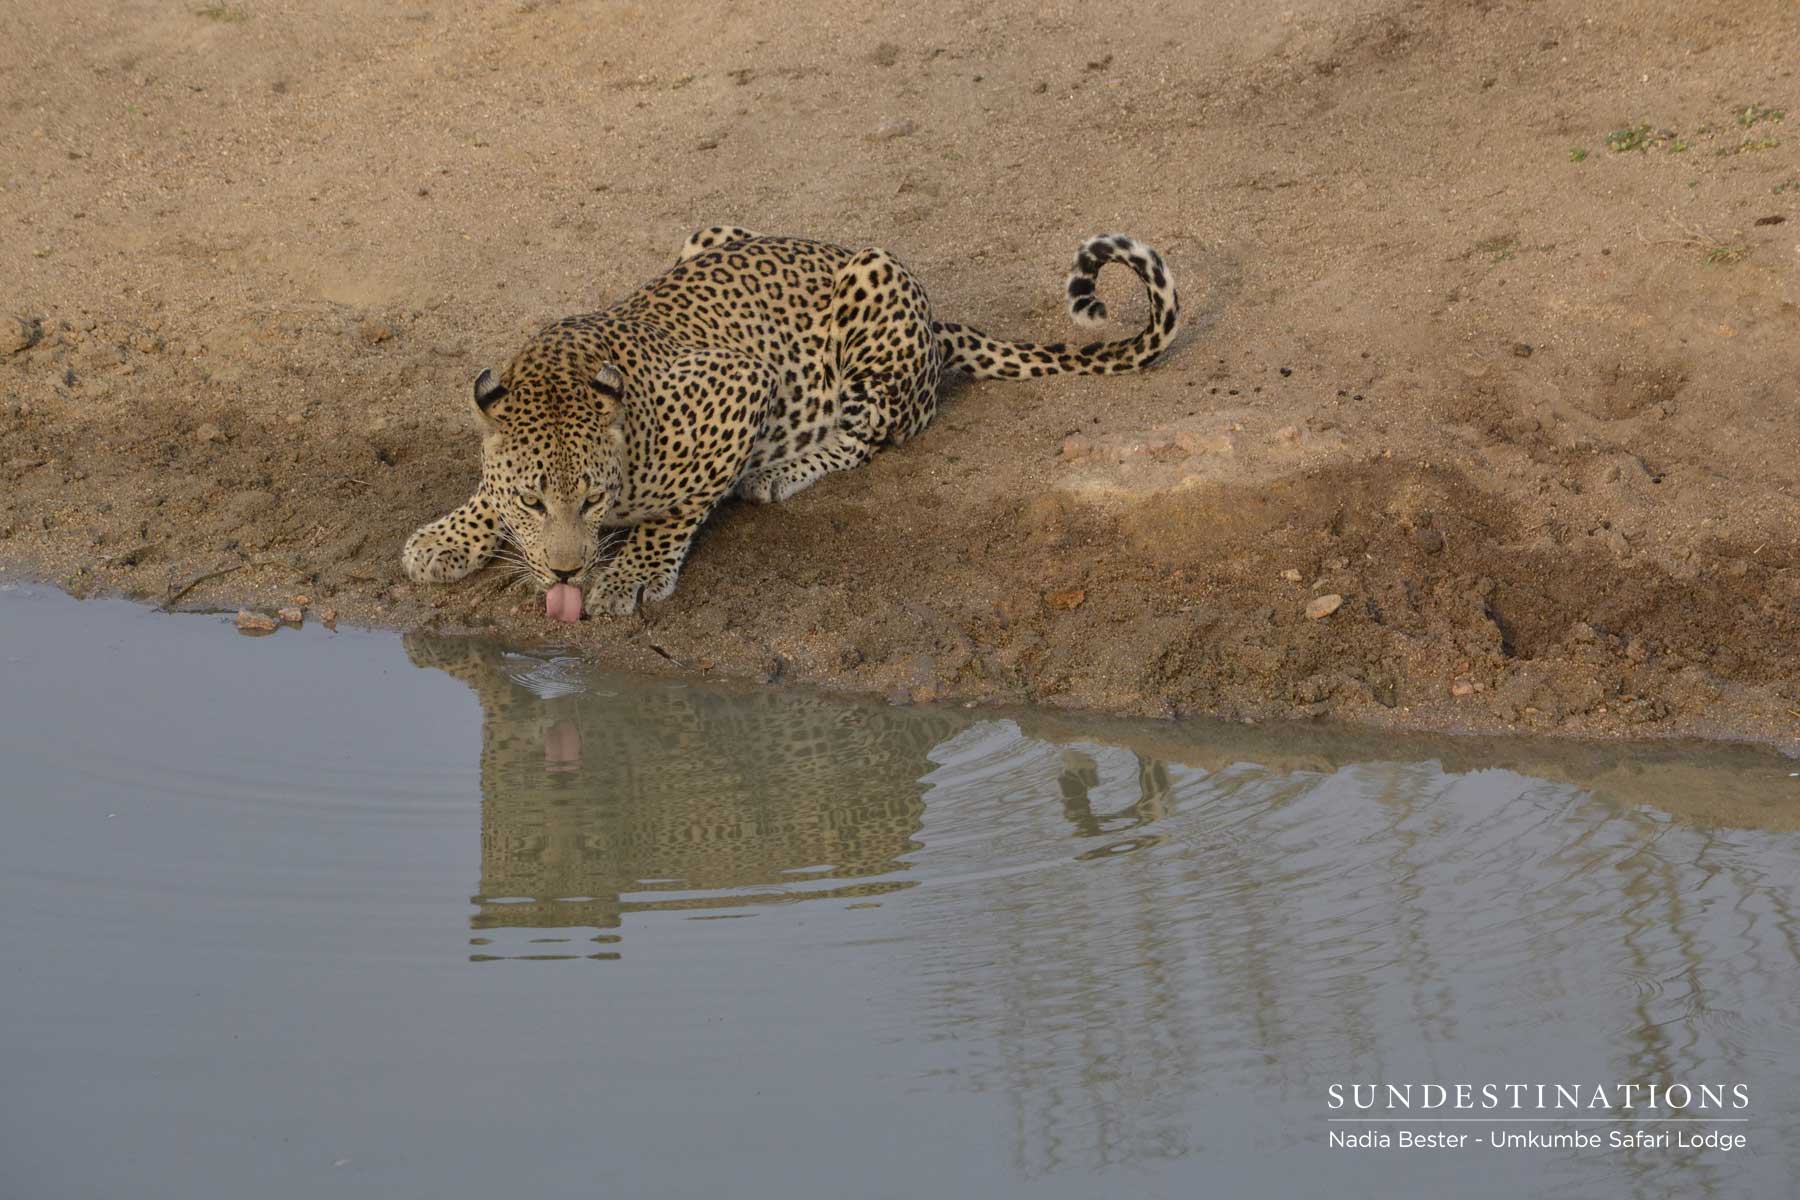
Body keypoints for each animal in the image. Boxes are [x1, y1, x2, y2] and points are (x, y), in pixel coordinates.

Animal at [401, 225, 1182, 618]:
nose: (565, 571)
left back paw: (781, 471)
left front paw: (631, 574)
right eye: (533, 501)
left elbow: (677, 509)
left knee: (880, 428)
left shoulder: (740, 385)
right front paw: (447, 537)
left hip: (875, 283)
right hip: (711, 229)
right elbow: (486, 487)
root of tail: (938, 323)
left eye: (591, 500)